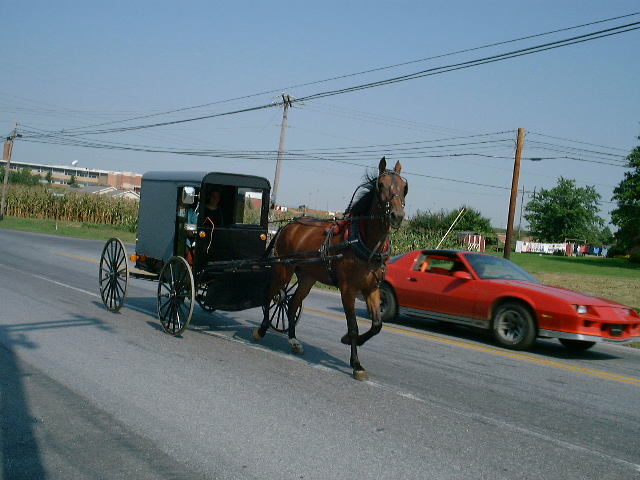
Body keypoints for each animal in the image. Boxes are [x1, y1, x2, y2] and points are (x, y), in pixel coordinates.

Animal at [252, 159, 408, 380]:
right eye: (381, 185)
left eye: (404, 187)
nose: (397, 216)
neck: (365, 243)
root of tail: (289, 225)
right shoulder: (348, 290)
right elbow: (353, 326)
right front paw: (356, 363)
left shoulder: (372, 288)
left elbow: (377, 325)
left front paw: (351, 341)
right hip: (284, 270)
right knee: (271, 296)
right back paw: (262, 329)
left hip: (307, 277)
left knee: (292, 305)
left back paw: (293, 340)